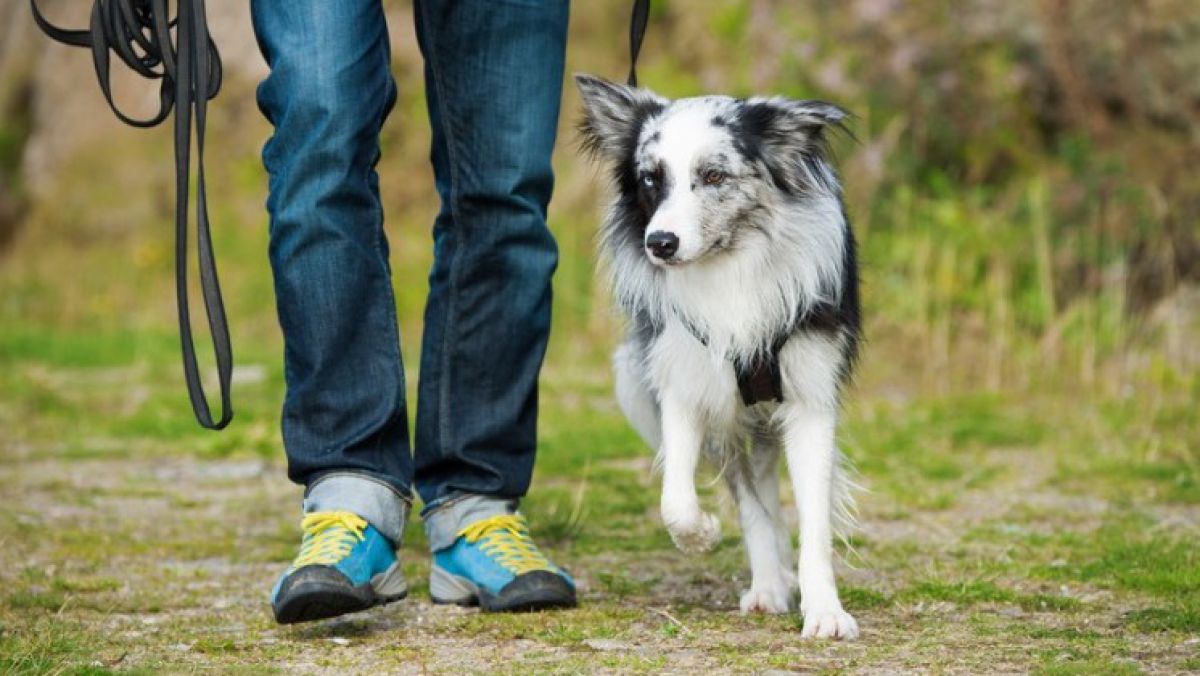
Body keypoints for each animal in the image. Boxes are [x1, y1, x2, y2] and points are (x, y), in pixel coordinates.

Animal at [573, 75, 864, 638]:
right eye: (650, 179)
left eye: (712, 175)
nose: (660, 243)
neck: (730, 267)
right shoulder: (688, 388)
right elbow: (683, 501)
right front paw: (709, 539)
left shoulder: (810, 399)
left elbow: (814, 519)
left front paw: (824, 610)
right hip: (636, 380)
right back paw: (771, 577)